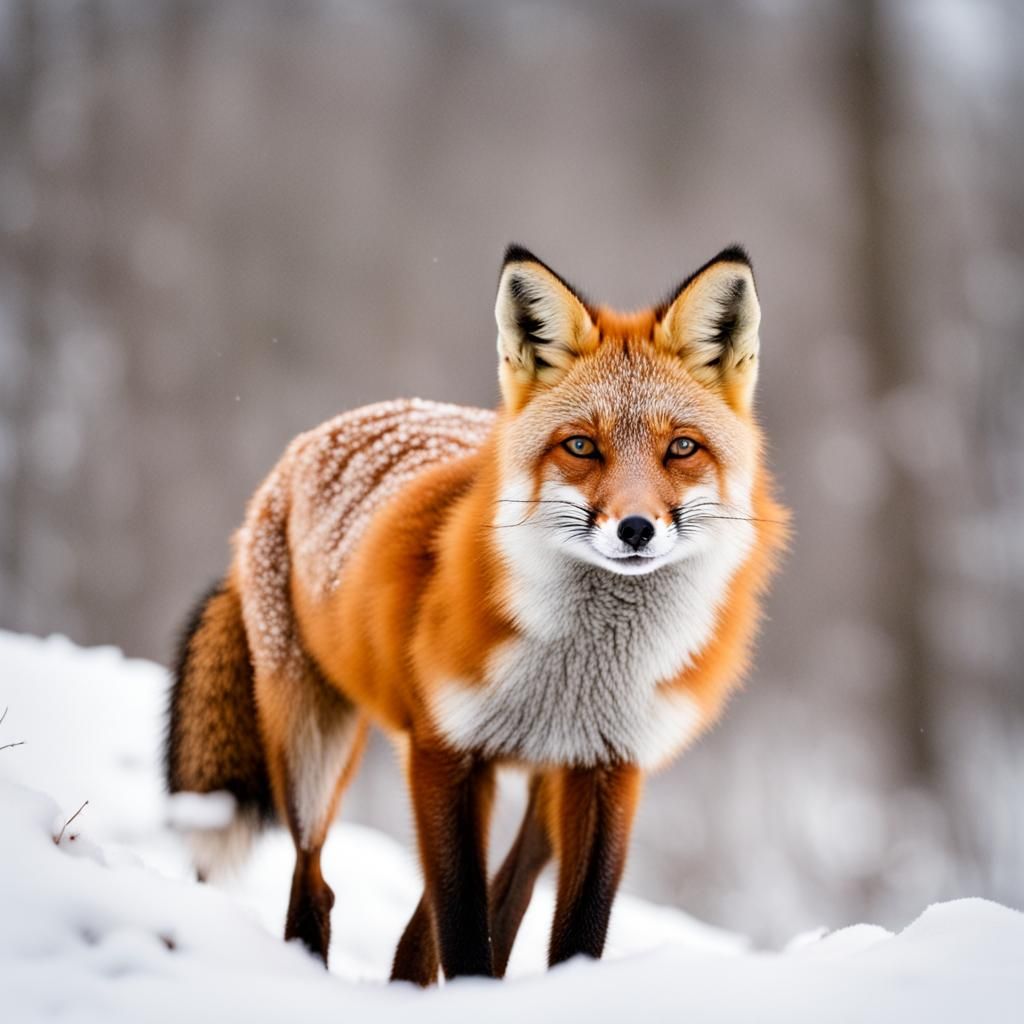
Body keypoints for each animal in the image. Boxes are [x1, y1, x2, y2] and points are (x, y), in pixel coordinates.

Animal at [165, 243, 788, 983]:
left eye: (682, 448)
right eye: (582, 446)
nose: (635, 529)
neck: (576, 668)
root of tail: (306, 445)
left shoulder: (609, 768)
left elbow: (570, 929)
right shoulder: (445, 753)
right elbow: (462, 927)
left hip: (543, 793)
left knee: (472, 908)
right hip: (314, 752)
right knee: (314, 885)